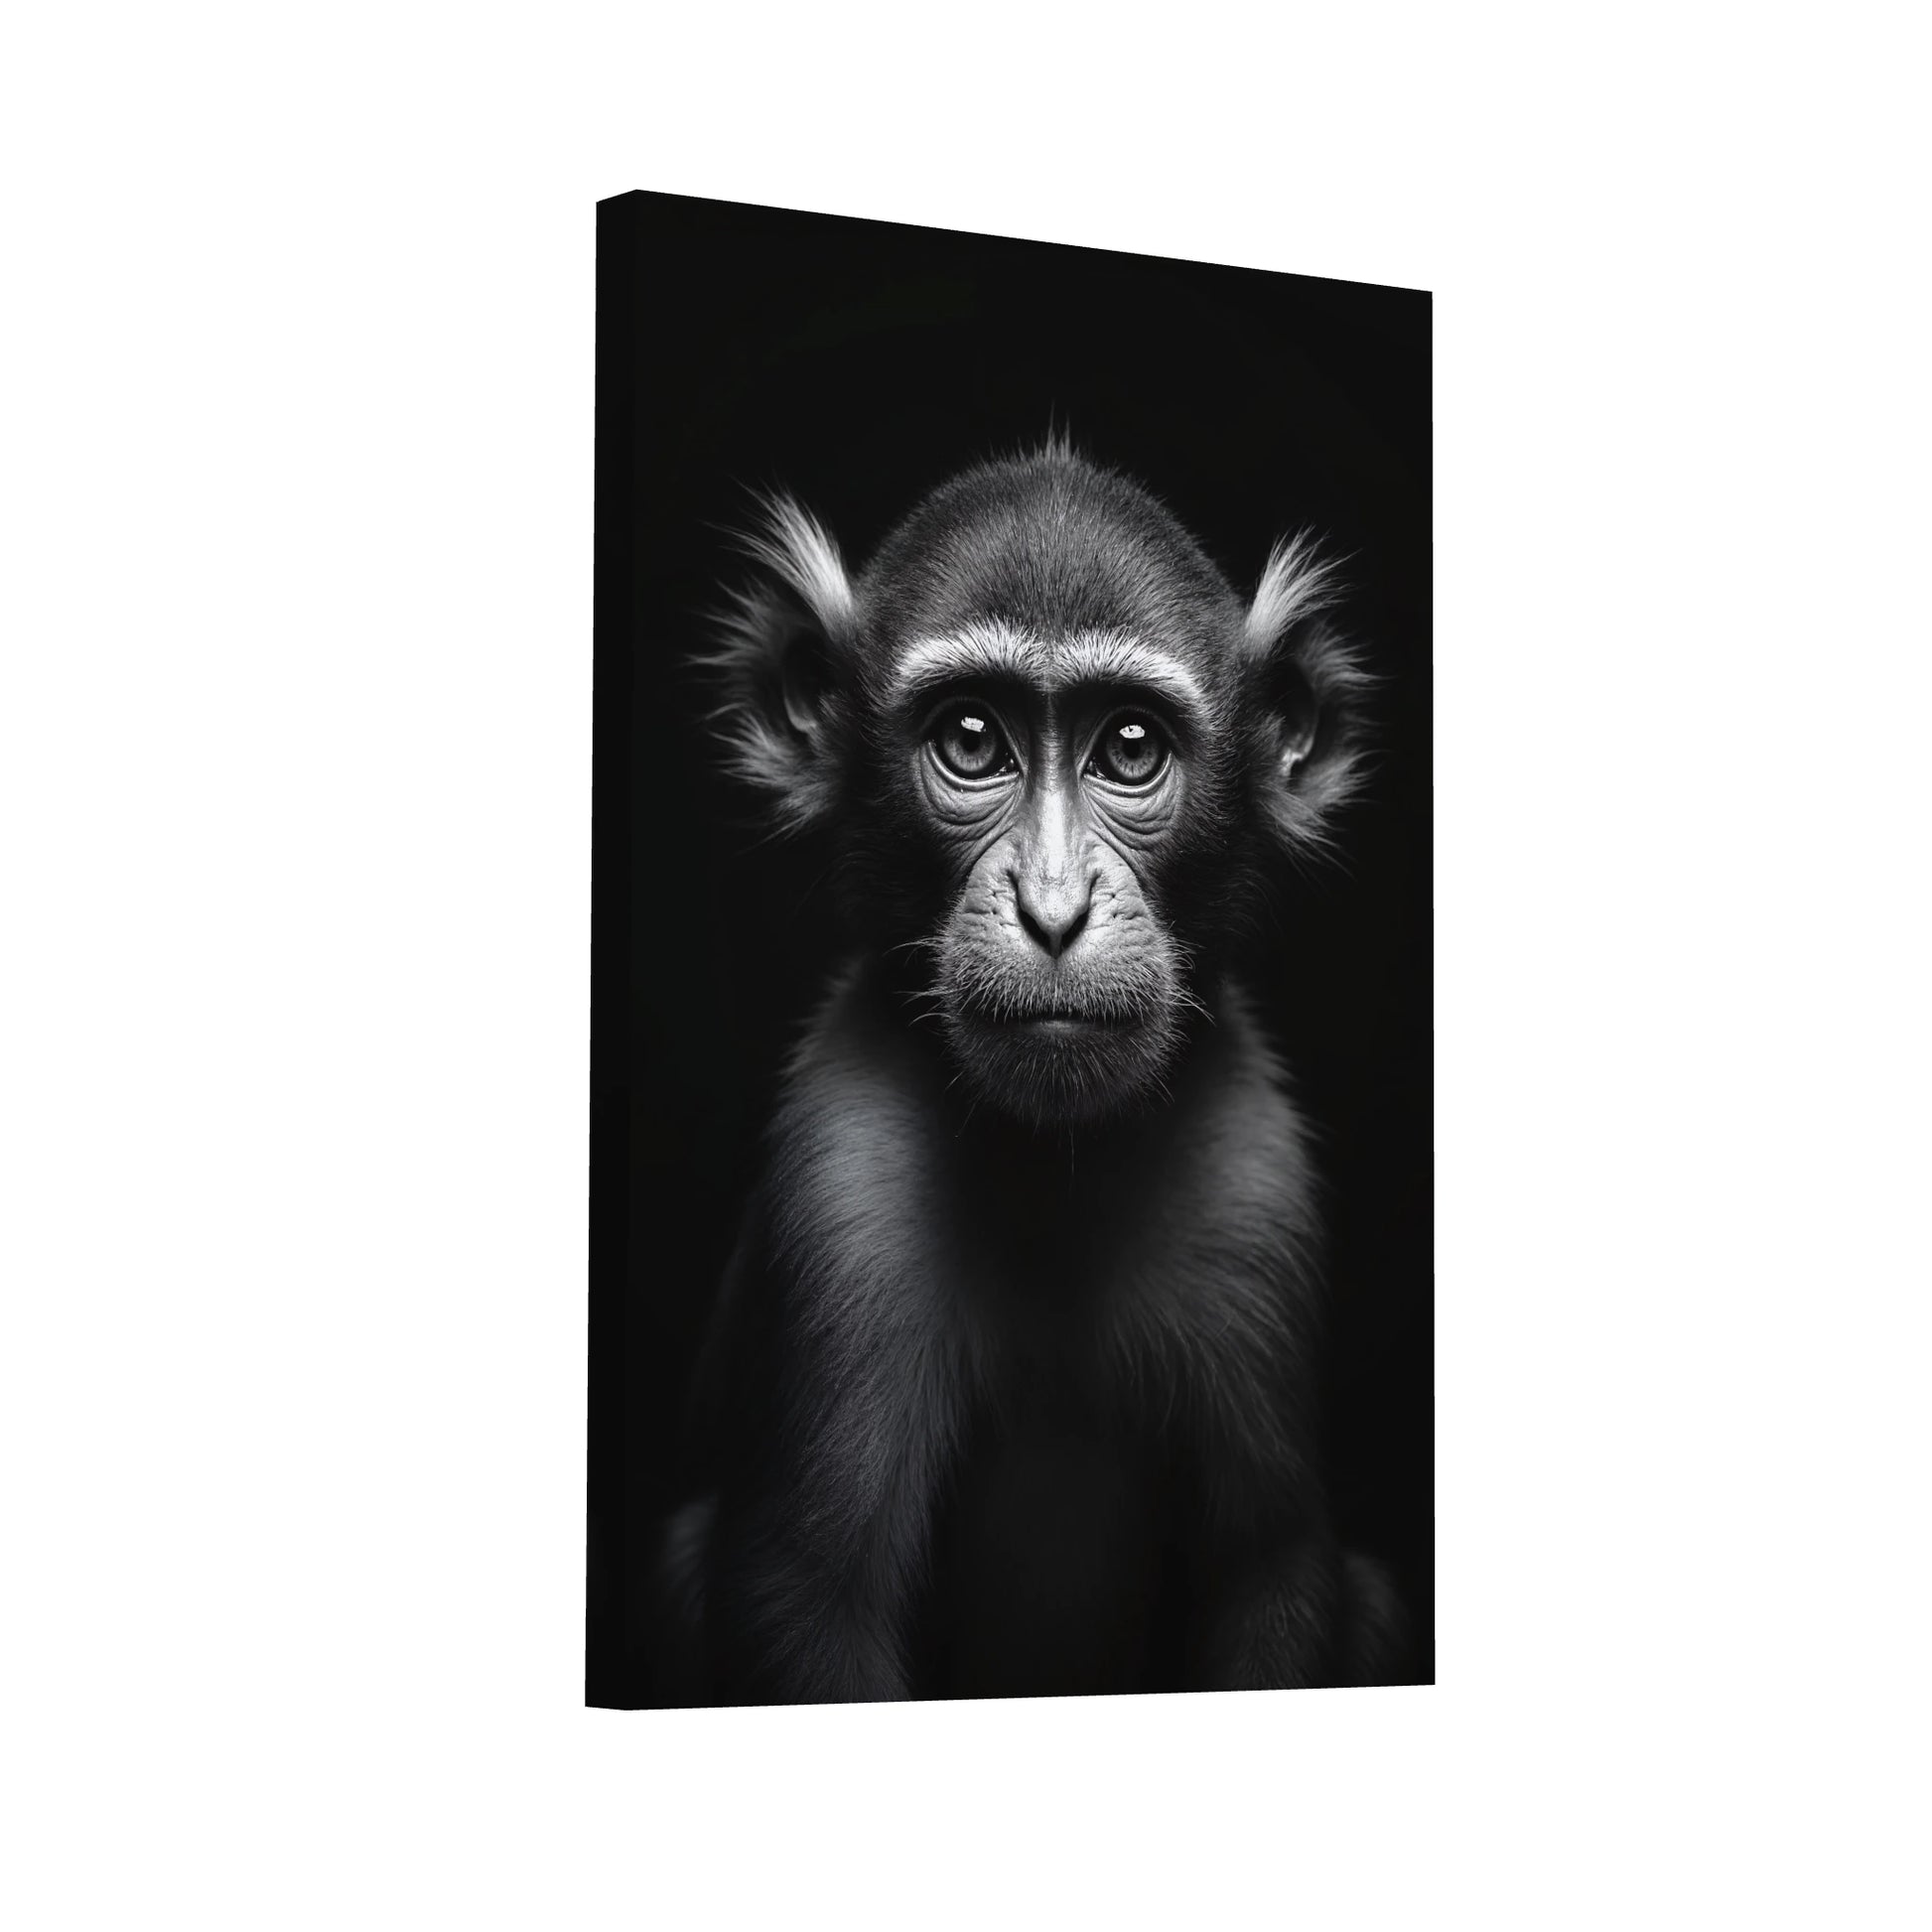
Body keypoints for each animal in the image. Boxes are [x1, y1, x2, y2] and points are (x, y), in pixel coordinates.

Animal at [647, 438, 1409, 1703]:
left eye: (1130, 747)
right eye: (969, 740)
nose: (1053, 910)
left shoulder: (1252, 1172)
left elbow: (1272, 1571)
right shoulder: (843, 1171)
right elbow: (806, 1595)